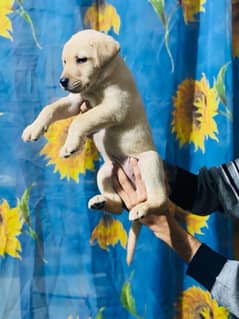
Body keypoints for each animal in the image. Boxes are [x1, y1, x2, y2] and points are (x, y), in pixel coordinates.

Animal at [22, 30, 168, 264]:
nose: (62, 81)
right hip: (106, 169)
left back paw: (143, 208)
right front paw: (33, 129)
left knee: (159, 199)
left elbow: (81, 121)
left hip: (148, 161)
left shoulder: (113, 107)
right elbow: (50, 108)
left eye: (81, 59)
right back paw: (101, 201)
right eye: (64, 61)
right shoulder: (75, 101)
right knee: (117, 205)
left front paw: (70, 145)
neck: (99, 85)